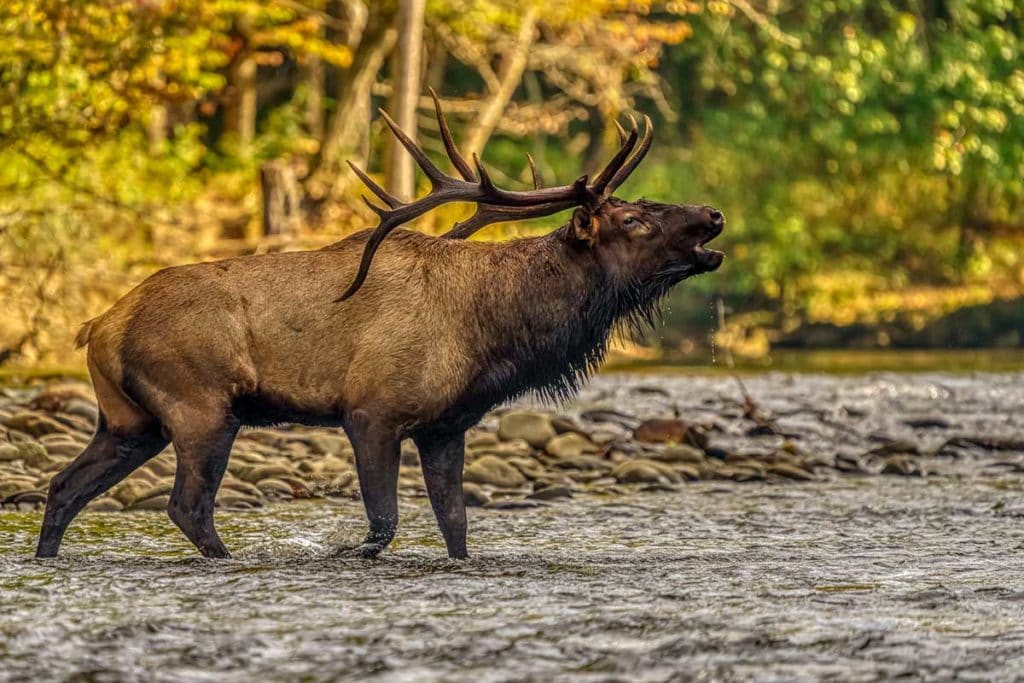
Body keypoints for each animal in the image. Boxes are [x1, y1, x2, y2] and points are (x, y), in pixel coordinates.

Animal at [36, 90, 724, 561]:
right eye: (632, 219)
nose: (713, 215)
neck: (495, 334)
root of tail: (98, 326)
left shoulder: (446, 425)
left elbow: (456, 528)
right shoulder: (371, 411)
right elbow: (383, 524)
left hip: (130, 421)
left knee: (64, 487)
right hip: (200, 406)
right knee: (187, 506)